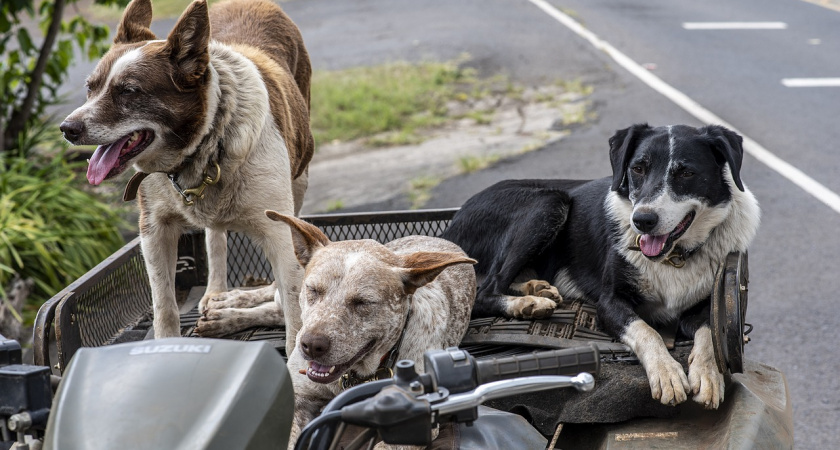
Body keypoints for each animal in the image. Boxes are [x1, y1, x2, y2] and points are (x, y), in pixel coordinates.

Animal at [60, 0, 316, 356]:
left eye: (129, 91)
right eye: (90, 87)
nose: (67, 129)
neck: (201, 147)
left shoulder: (279, 232)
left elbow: (294, 312)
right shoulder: (154, 230)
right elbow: (164, 306)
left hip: (301, 177)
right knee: (215, 237)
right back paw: (217, 294)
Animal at [446, 123, 760, 408]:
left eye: (686, 173)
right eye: (638, 169)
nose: (642, 221)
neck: (674, 256)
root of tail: (450, 227)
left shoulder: (708, 303)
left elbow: (710, 332)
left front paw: (708, 375)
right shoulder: (609, 303)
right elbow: (646, 330)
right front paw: (667, 373)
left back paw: (536, 290)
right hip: (549, 202)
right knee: (483, 291)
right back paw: (527, 304)